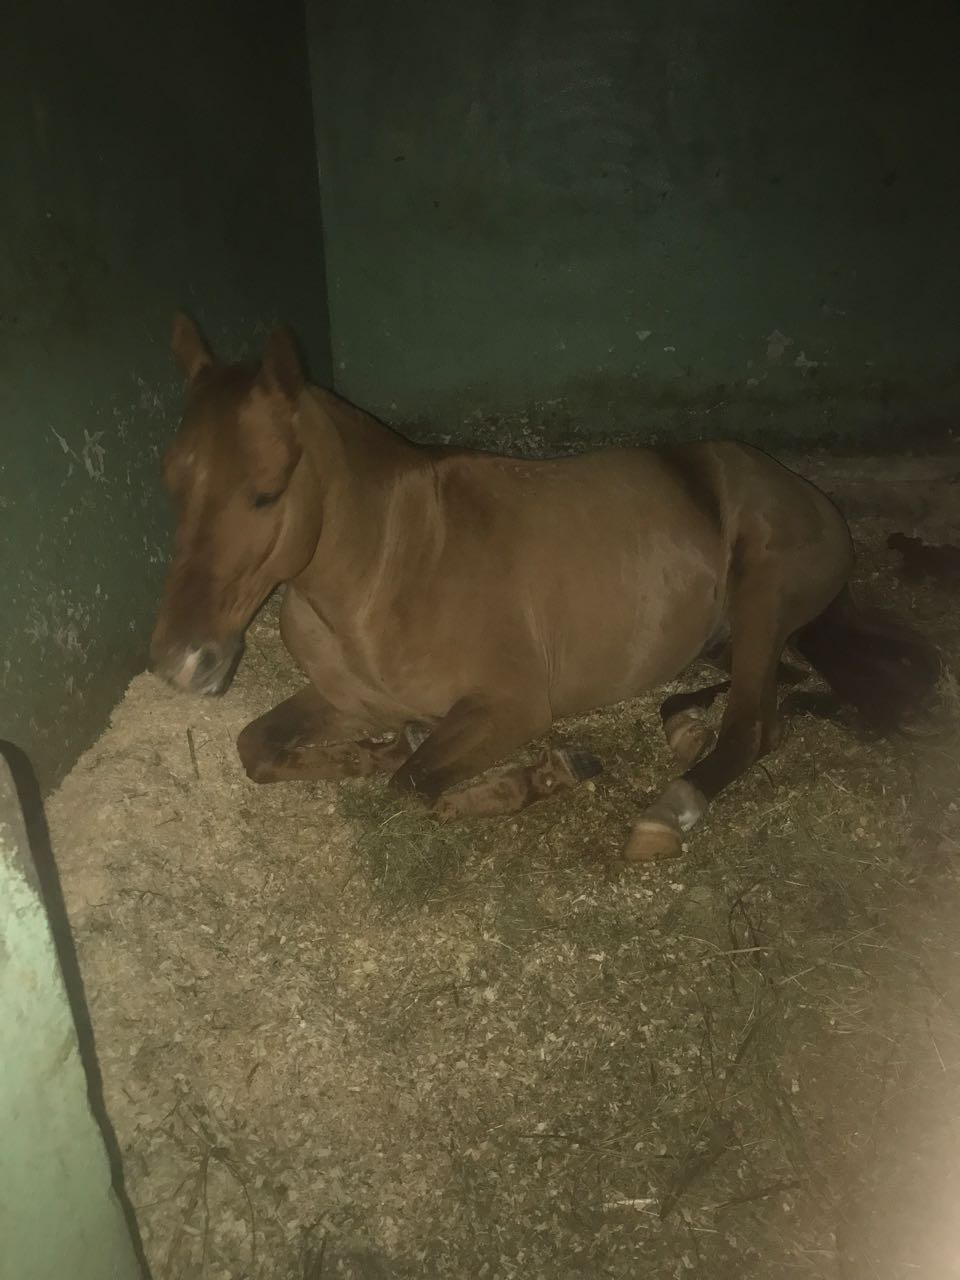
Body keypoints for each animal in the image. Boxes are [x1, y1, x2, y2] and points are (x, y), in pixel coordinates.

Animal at [149, 314, 940, 861]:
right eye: (172, 485)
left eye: (266, 492)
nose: (183, 661)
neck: (390, 569)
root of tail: (811, 498)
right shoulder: (345, 698)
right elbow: (258, 747)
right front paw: (372, 752)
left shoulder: (513, 708)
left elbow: (415, 785)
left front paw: (544, 776)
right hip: (739, 633)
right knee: (788, 687)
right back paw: (685, 726)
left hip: (762, 596)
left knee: (755, 725)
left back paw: (669, 808)